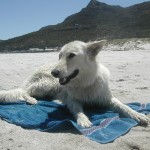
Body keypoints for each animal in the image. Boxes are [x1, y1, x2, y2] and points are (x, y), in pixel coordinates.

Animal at [0, 40, 149, 127]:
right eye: (59, 56)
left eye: (71, 55)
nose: (54, 72)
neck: (85, 83)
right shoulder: (73, 101)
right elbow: (78, 110)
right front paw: (83, 119)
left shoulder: (108, 99)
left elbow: (124, 106)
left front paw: (137, 114)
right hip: (46, 84)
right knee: (24, 92)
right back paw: (32, 99)